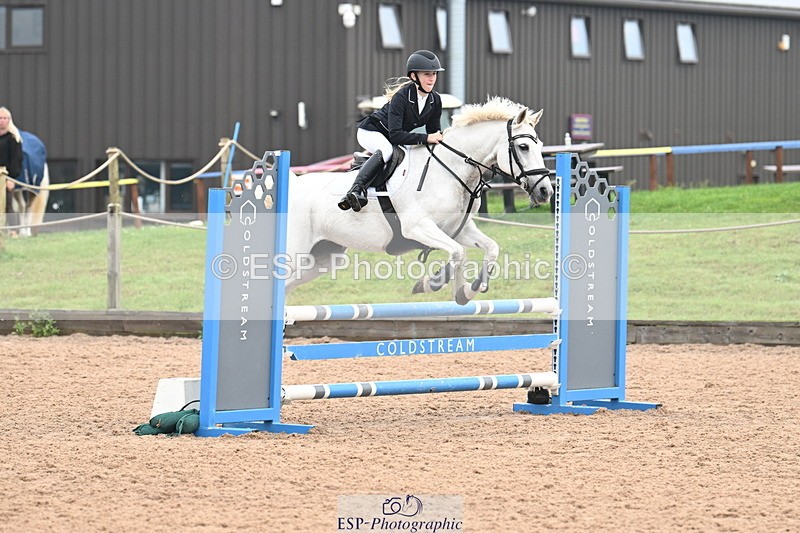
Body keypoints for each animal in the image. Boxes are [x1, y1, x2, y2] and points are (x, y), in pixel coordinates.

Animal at [284, 97, 552, 305]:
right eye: (524, 146)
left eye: (539, 145)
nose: (546, 191)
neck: (450, 170)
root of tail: (293, 186)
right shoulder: (418, 227)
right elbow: (457, 253)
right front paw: (431, 283)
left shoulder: (460, 228)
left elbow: (489, 249)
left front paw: (467, 291)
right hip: (295, 253)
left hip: (323, 258)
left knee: (286, 287)